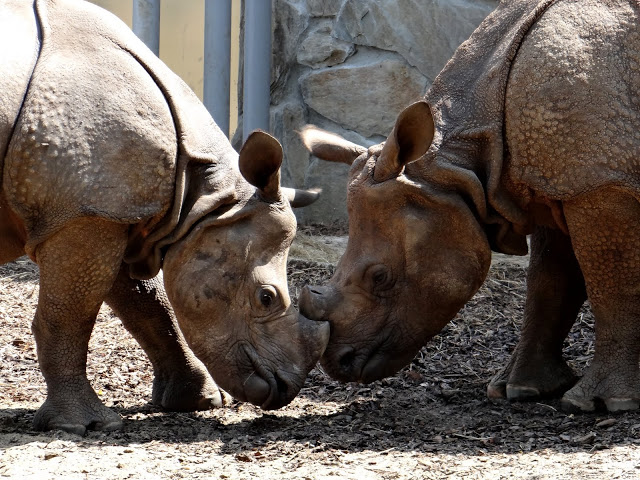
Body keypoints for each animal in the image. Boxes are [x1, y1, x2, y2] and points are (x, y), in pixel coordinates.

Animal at [0, 0, 329, 434]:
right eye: (266, 297)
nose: (284, 389)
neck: (205, 198)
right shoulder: (85, 214)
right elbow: (70, 315)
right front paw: (84, 426)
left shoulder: (110, 209)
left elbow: (151, 307)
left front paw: (201, 402)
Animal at [299, 0, 640, 413]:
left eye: (379, 277)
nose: (338, 363)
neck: (453, 169)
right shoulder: (553, 182)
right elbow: (548, 283)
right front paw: (520, 390)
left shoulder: (598, 182)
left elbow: (611, 286)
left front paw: (604, 403)